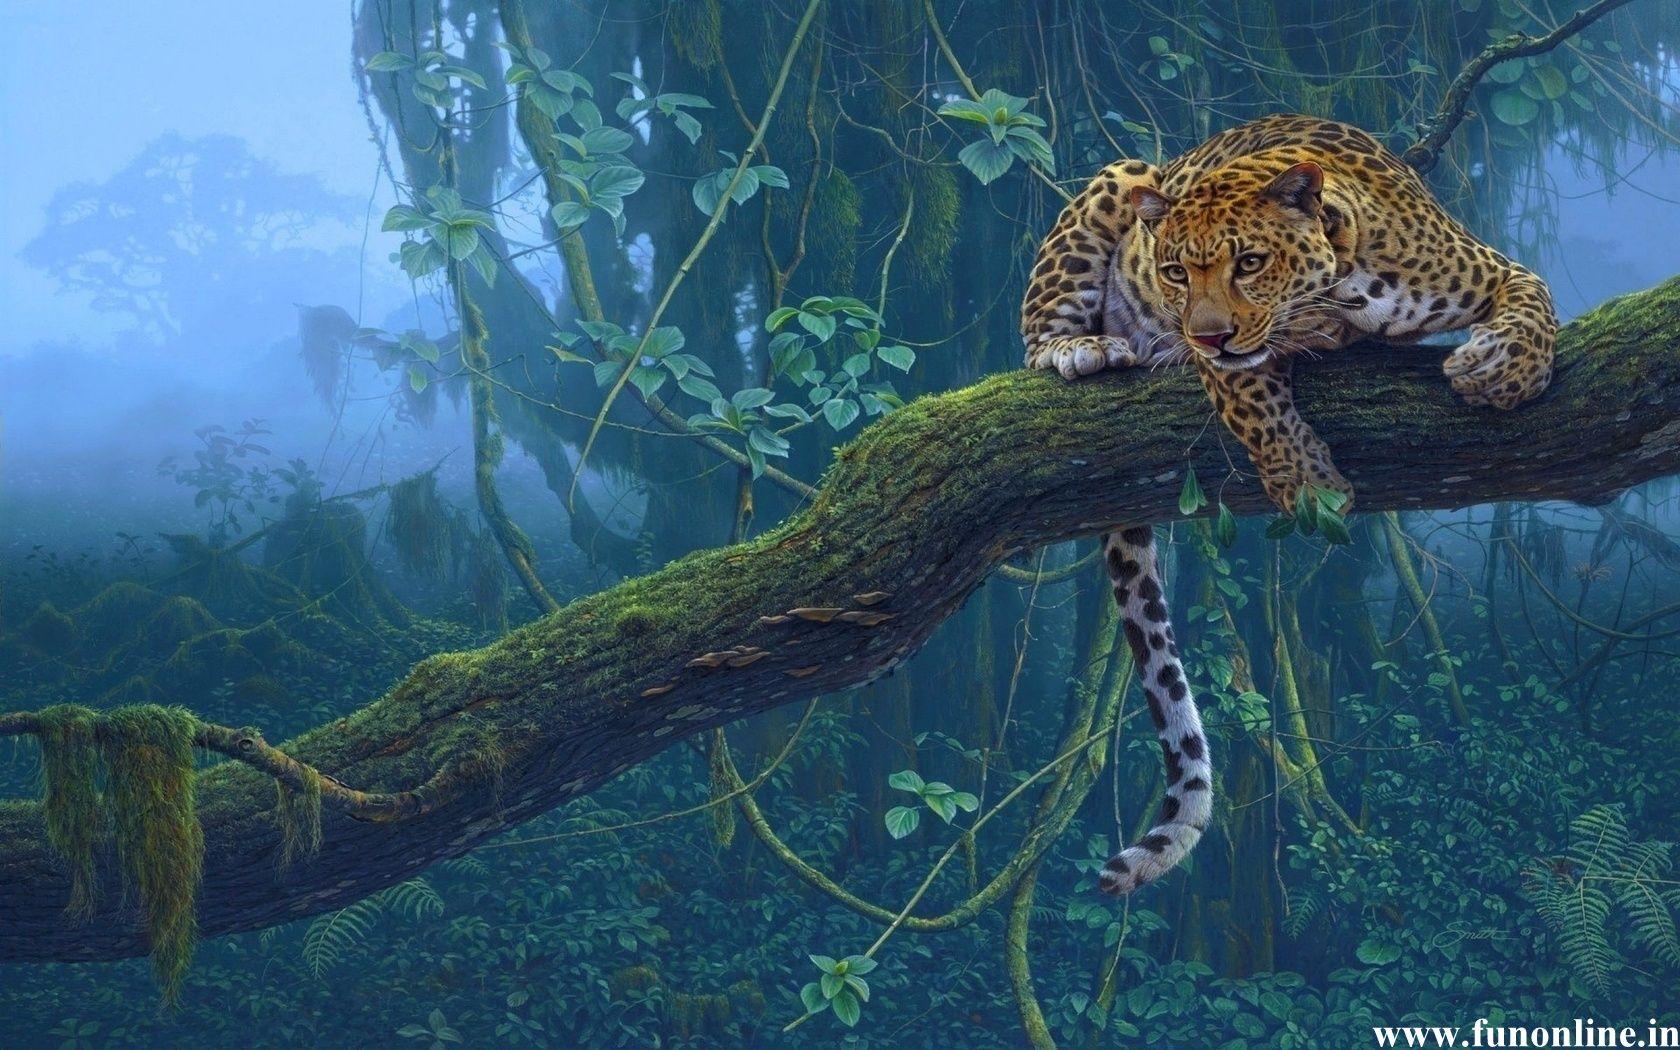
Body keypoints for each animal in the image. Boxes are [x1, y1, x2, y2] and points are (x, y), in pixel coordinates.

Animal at [1020, 114, 1557, 895]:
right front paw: (1309, 483)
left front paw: (1503, 371)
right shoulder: (1226, 364)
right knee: (1036, 340)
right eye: (1174, 272)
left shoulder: (1486, 267)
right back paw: (1084, 348)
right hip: (1122, 176)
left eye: (1248, 262)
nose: (1205, 332)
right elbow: (1254, 401)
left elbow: (1534, 296)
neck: (1347, 284)